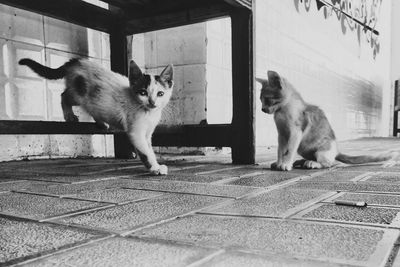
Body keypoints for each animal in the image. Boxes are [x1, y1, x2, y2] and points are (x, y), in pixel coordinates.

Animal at [18, 57, 173, 176]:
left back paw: (101, 122)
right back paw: (69, 115)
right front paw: (154, 168)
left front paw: (156, 164)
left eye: (160, 94)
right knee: (64, 95)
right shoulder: (136, 132)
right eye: (143, 93)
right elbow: (145, 152)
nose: (152, 102)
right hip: (79, 93)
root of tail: (77, 61)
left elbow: (149, 149)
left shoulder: (147, 133)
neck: (148, 112)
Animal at [258, 71, 396, 172]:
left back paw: (312, 163)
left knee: (329, 163)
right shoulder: (282, 135)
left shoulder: (295, 133)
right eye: (260, 100)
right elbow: (280, 151)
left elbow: (289, 151)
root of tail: (336, 151)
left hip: (321, 150)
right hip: (303, 148)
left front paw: (286, 164)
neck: (282, 111)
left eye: (267, 99)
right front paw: (279, 162)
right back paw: (301, 162)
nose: (262, 109)